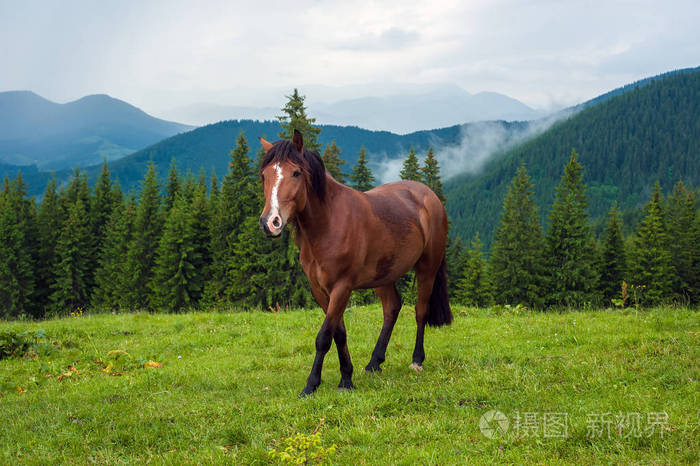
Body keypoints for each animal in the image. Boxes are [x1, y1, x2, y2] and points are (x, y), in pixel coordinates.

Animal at [258, 130, 452, 396]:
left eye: (296, 172)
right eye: (264, 175)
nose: (271, 222)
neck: (329, 224)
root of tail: (429, 196)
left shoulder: (342, 287)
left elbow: (324, 337)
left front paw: (312, 384)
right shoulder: (320, 290)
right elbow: (339, 333)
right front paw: (346, 378)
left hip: (427, 268)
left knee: (420, 311)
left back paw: (416, 361)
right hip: (384, 275)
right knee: (392, 308)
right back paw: (374, 363)